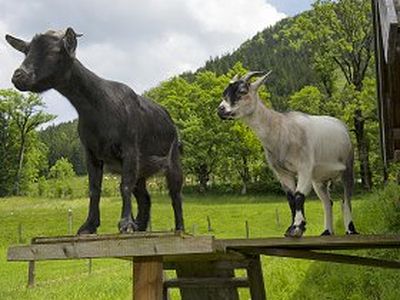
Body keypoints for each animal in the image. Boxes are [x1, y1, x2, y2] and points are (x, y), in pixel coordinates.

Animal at [6, 28, 184, 233]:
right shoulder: (91, 152)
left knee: (176, 195)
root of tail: (171, 123)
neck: (100, 106)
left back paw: (179, 228)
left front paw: (125, 223)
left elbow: (124, 185)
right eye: (26, 52)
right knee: (144, 198)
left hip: (173, 161)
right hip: (142, 169)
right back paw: (140, 226)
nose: (18, 76)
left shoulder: (130, 148)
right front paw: (89, 225)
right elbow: (94, 189)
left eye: (52, 51)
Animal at [217, 71, 358, 238]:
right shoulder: (282, 172)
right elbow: (291, 198)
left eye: (242, 91)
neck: (282, 129)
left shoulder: (304, 167)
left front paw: (297, 228)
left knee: (346, 200)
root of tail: (342, 127)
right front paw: (292, 227)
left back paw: (350, 230)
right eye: (225, 92)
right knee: (327, 202)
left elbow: (299, 196)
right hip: (319, 179)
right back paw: (326, 232)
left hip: (347, 167)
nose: (220, 110)